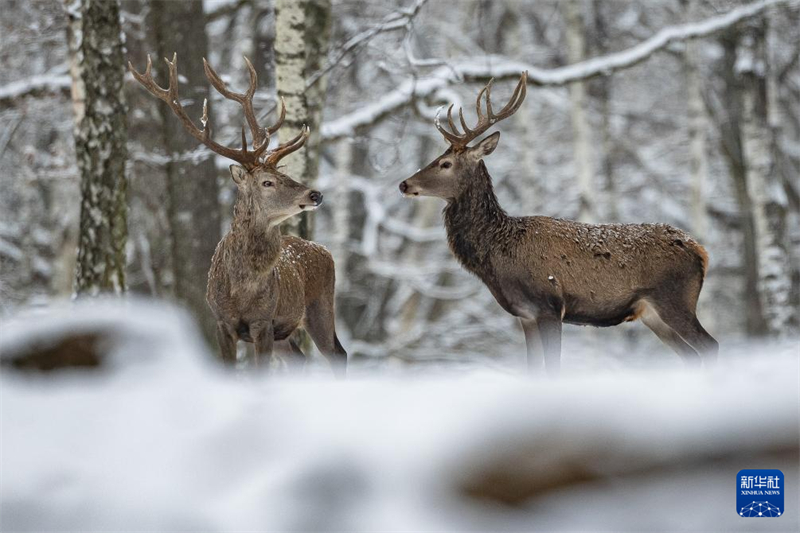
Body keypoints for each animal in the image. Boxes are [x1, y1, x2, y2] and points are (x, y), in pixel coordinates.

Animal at [130, 54, 346, 374]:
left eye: (283, 175)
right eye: (267, 182)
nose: (315, 195)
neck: (242, 290)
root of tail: (325, 250)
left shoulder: (263, 321)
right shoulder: (222, 322)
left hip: (320, 304)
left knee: (337, 354)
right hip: (292, 328)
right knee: (303, 358)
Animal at [400, 72, 720, 374]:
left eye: (445, 164)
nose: (404, 184)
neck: (499, 254)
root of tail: (700, 251)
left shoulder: (550, 306)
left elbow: (553, 368)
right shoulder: (525, 315)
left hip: (674, 299)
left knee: (711, 346)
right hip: (653, 314)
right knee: (691, 355)